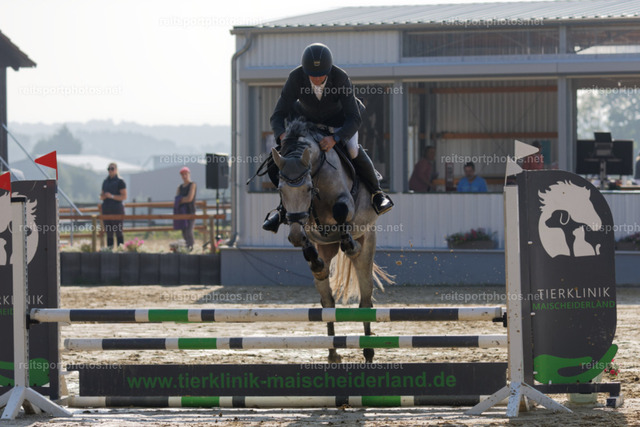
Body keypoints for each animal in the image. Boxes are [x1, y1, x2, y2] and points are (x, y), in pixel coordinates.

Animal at [271, 119, 393, 363]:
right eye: (280, 189)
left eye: (308, 188)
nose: (294, 237)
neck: (317, 170)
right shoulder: (303, 222)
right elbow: (305, 234)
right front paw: (312, 258)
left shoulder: (345, 202)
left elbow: (341, 209)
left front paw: (350, 245)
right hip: (326, 249)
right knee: (328, 303)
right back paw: (332, 352)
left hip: (367, 242)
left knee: (366, 300)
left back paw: (368, 351)